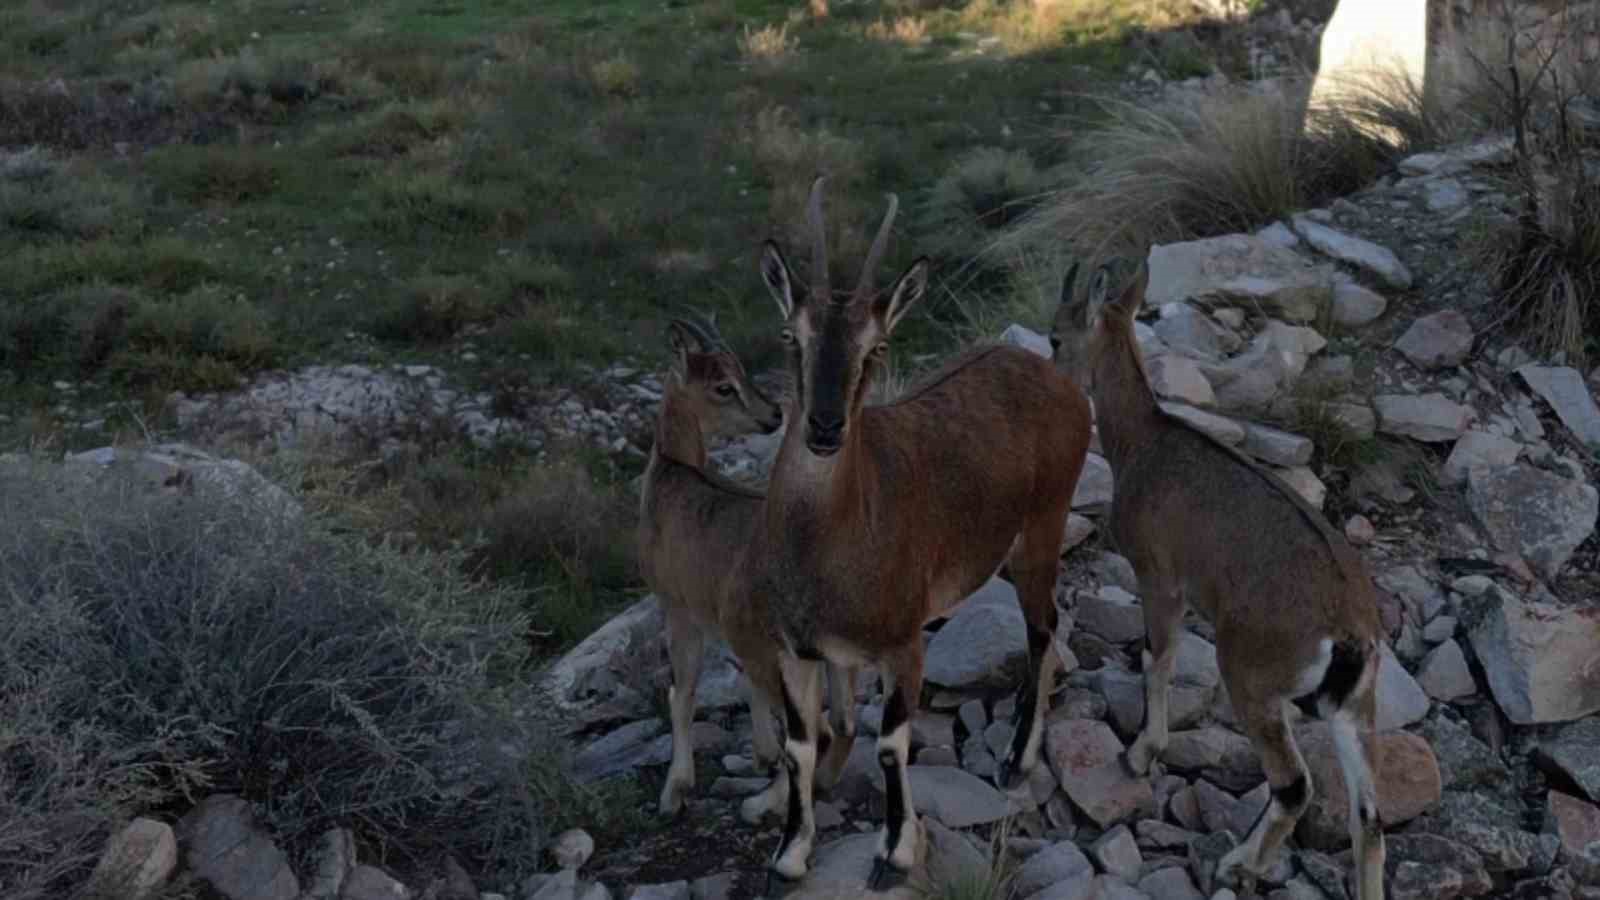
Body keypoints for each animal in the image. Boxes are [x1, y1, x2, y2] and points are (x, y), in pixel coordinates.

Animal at [640, 313, 864, 819]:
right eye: (725, 384)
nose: (774, 415)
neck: (671, 473)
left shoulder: (679, 608)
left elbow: (682, 693)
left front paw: (674, 791)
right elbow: (744, 687)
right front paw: (761, 754)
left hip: (773, 645)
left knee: (814, 730)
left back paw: (766, 805)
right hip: (829, 654)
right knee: (844, 723)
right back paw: (818, 783)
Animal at [742, 178, 1094, 883]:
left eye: (876, 346)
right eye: (793, 336)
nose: (825, 427)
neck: (828, 545)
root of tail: (1053, 374)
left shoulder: (903, 644)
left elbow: (891, 744)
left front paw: (895, 849)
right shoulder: (797, 650)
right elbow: (799, 748)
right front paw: (790, 853)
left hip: (1043, 526)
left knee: (1045, 627)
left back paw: (1018, 757)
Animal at [1049, 259, 1388, 896]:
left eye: (1057, 336)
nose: (1051, 377)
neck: (1144, 440)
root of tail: (1351, 634)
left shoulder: (1159, 577)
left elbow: (1158, 659)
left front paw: (1141, 754)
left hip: (1250, 674)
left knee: (1294, 786)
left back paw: (1239, 865)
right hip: (1356, 708)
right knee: (1368, 817)